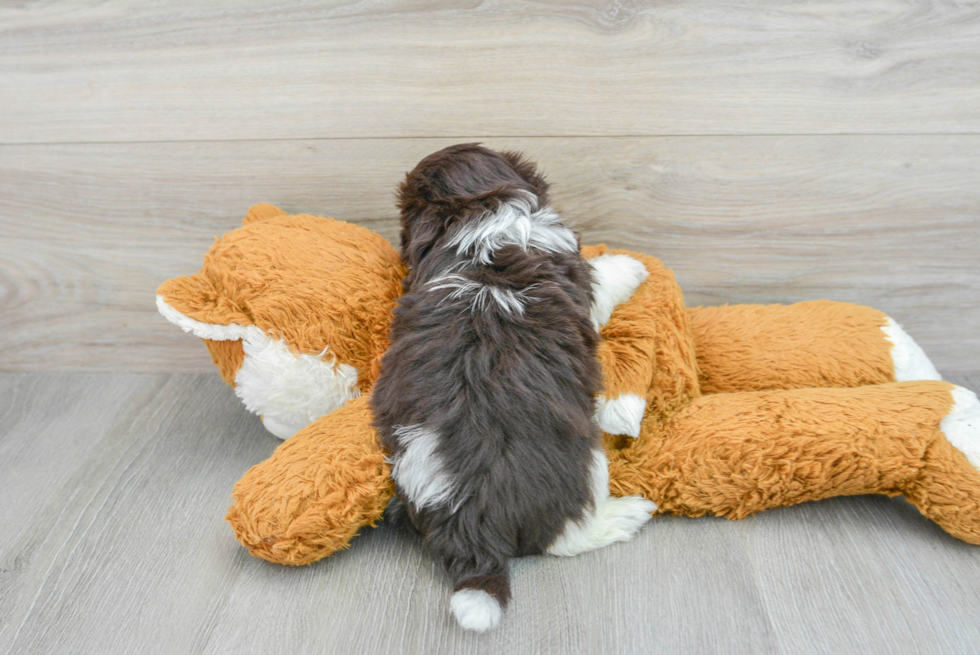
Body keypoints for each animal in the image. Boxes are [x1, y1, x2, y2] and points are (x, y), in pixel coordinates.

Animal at [372, 144, 656, 632]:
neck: (475, 216)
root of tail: (469, 519)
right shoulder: (581, 282)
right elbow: (605, 277)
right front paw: (631, 265)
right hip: (585, 462)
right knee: (567, 535)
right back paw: (626, 514)